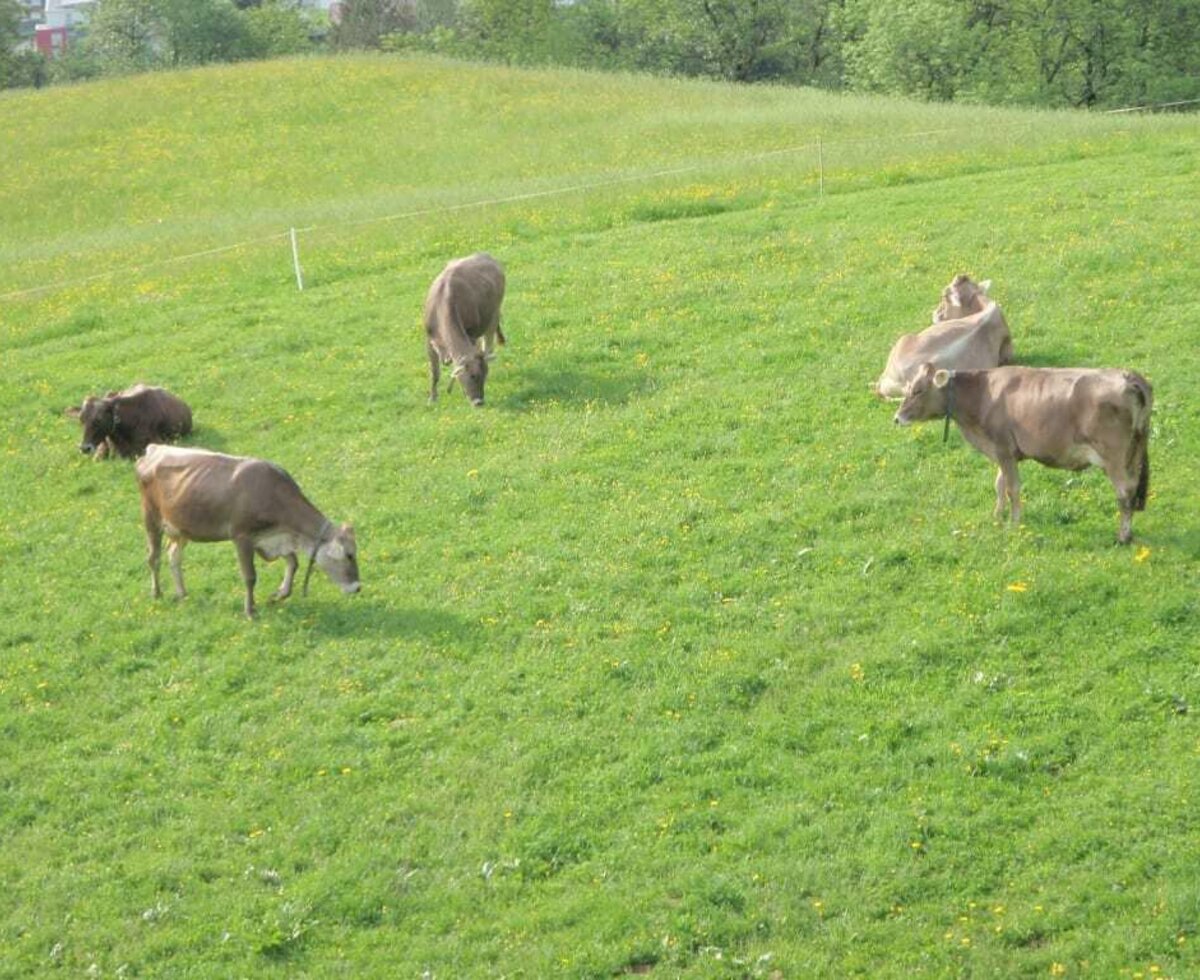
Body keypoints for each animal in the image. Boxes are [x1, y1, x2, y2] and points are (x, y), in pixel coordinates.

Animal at [136, 441, 357, 611]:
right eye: (349, 555)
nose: (358, 587)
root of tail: (154, 448)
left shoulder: (270, 538)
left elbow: (293, 562)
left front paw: (280, 594)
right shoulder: (242, 537)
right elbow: (250, 576)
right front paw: (251, 610)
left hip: (180, 527)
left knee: (173, 555)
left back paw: (182, 593)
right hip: (151, 517)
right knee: (153, 557)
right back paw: (157, 593)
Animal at [422, 251, 506, 410]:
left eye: (484, 375)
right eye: (472, 376)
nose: (479, 402)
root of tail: (486, 255)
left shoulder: (471, 335)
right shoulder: (429, 340)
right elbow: (434, 372)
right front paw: (432, 398)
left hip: (494, 315)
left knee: (487, 346)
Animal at [897, 359, 1147, 542]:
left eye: (918, 390)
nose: (897, 418)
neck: (983, 394)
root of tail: (1128, 376)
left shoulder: (1003, 448)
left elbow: (1012, 488)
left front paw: (1015, 523)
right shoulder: (1003, 451)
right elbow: (999, 485)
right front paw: (997, 517)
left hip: (1113, 456)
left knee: (1124, 492)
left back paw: (1123, 536)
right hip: (1134, 452)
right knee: (1133, 488)